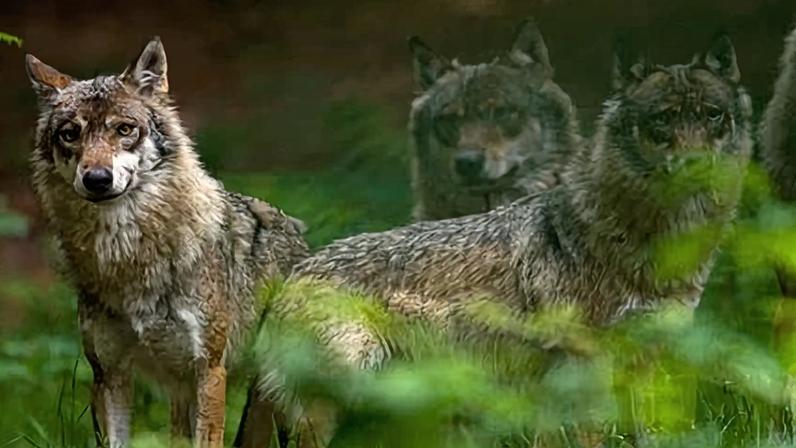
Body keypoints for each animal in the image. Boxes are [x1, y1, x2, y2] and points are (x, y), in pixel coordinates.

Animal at [25, 38, 309, 447]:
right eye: (69, 133)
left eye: (125, 129)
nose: (97, 179)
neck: (129, 256)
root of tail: (297, 233)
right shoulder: (108, 374)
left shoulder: (209, 369)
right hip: (182, 395)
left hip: (285, 399)